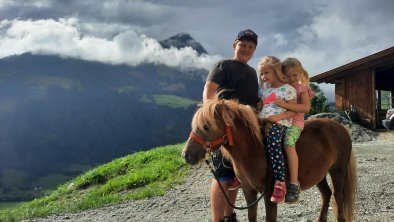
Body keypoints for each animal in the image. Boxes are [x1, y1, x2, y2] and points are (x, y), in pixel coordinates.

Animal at [182, 99, 358, 222]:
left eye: (206, 126)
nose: (185, 155)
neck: (254, 150)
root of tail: (341, 128)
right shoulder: (249, 191)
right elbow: (252, 217)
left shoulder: (269, 196)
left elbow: (269, 218)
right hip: (319, 174)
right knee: (326, 194)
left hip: (337, 171)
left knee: (338, 196)